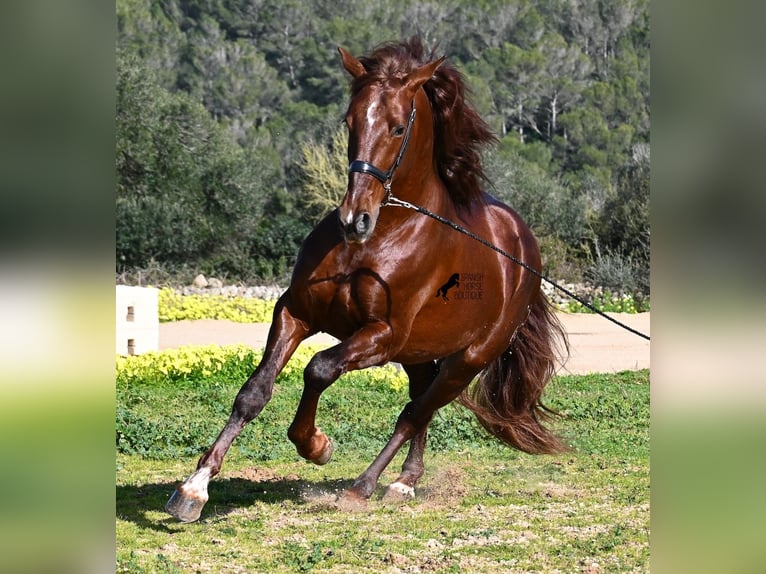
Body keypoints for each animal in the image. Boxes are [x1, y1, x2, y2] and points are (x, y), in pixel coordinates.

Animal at [168, 35, 568, 520]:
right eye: (350, 122)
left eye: (397, 128)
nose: (354, 219)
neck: (375, 241)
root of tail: (524, 250)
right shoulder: (295, 312)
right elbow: (254, 392)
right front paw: (195, 487)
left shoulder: (382, 335)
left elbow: (319, 368)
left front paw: (316, 445)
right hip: (420, 354)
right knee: (420, 402)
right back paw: (405, 481)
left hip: (468, 359)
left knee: (416, 411)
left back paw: (366, 485)